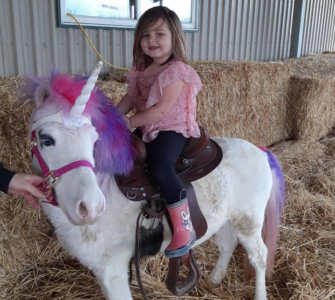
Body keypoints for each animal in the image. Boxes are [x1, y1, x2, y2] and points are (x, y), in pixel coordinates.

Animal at [23, 62, 286, 298]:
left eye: (94, 139)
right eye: (46, 139)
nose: (91, 207)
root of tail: (260, 150)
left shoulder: (112, 269)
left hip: (248, 222)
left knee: (259, 257)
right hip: (225, 219)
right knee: (228, 244)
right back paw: (214, 279)